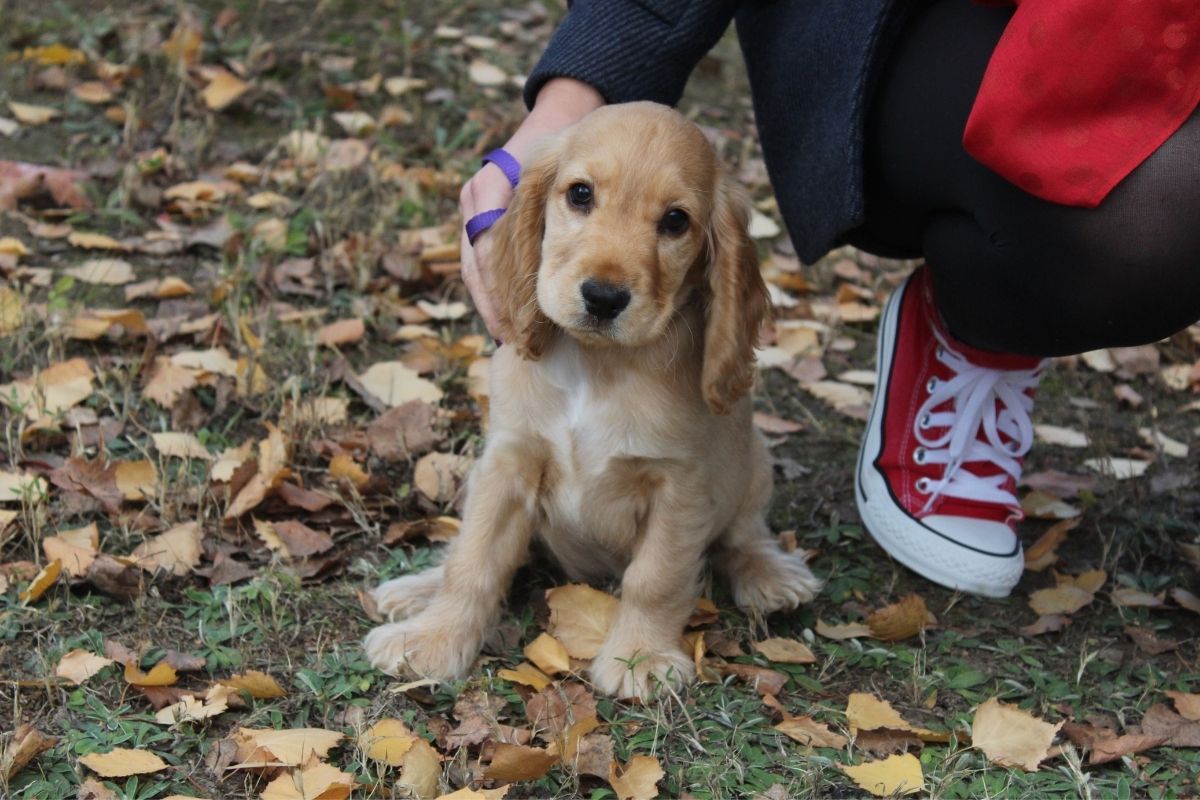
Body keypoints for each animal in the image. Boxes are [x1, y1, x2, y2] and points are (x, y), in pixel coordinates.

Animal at [360, 101, 820, 700]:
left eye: (676, 221)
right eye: (580, 194)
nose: (603, 298)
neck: (597, 367)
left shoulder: (680, 484)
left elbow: (655, 577)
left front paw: (642, 658)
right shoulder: (508, 462)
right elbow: (475, 559)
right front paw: (433, 641)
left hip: (753, 462)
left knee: (742, 536)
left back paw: (770, 574)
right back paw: (416, 590)